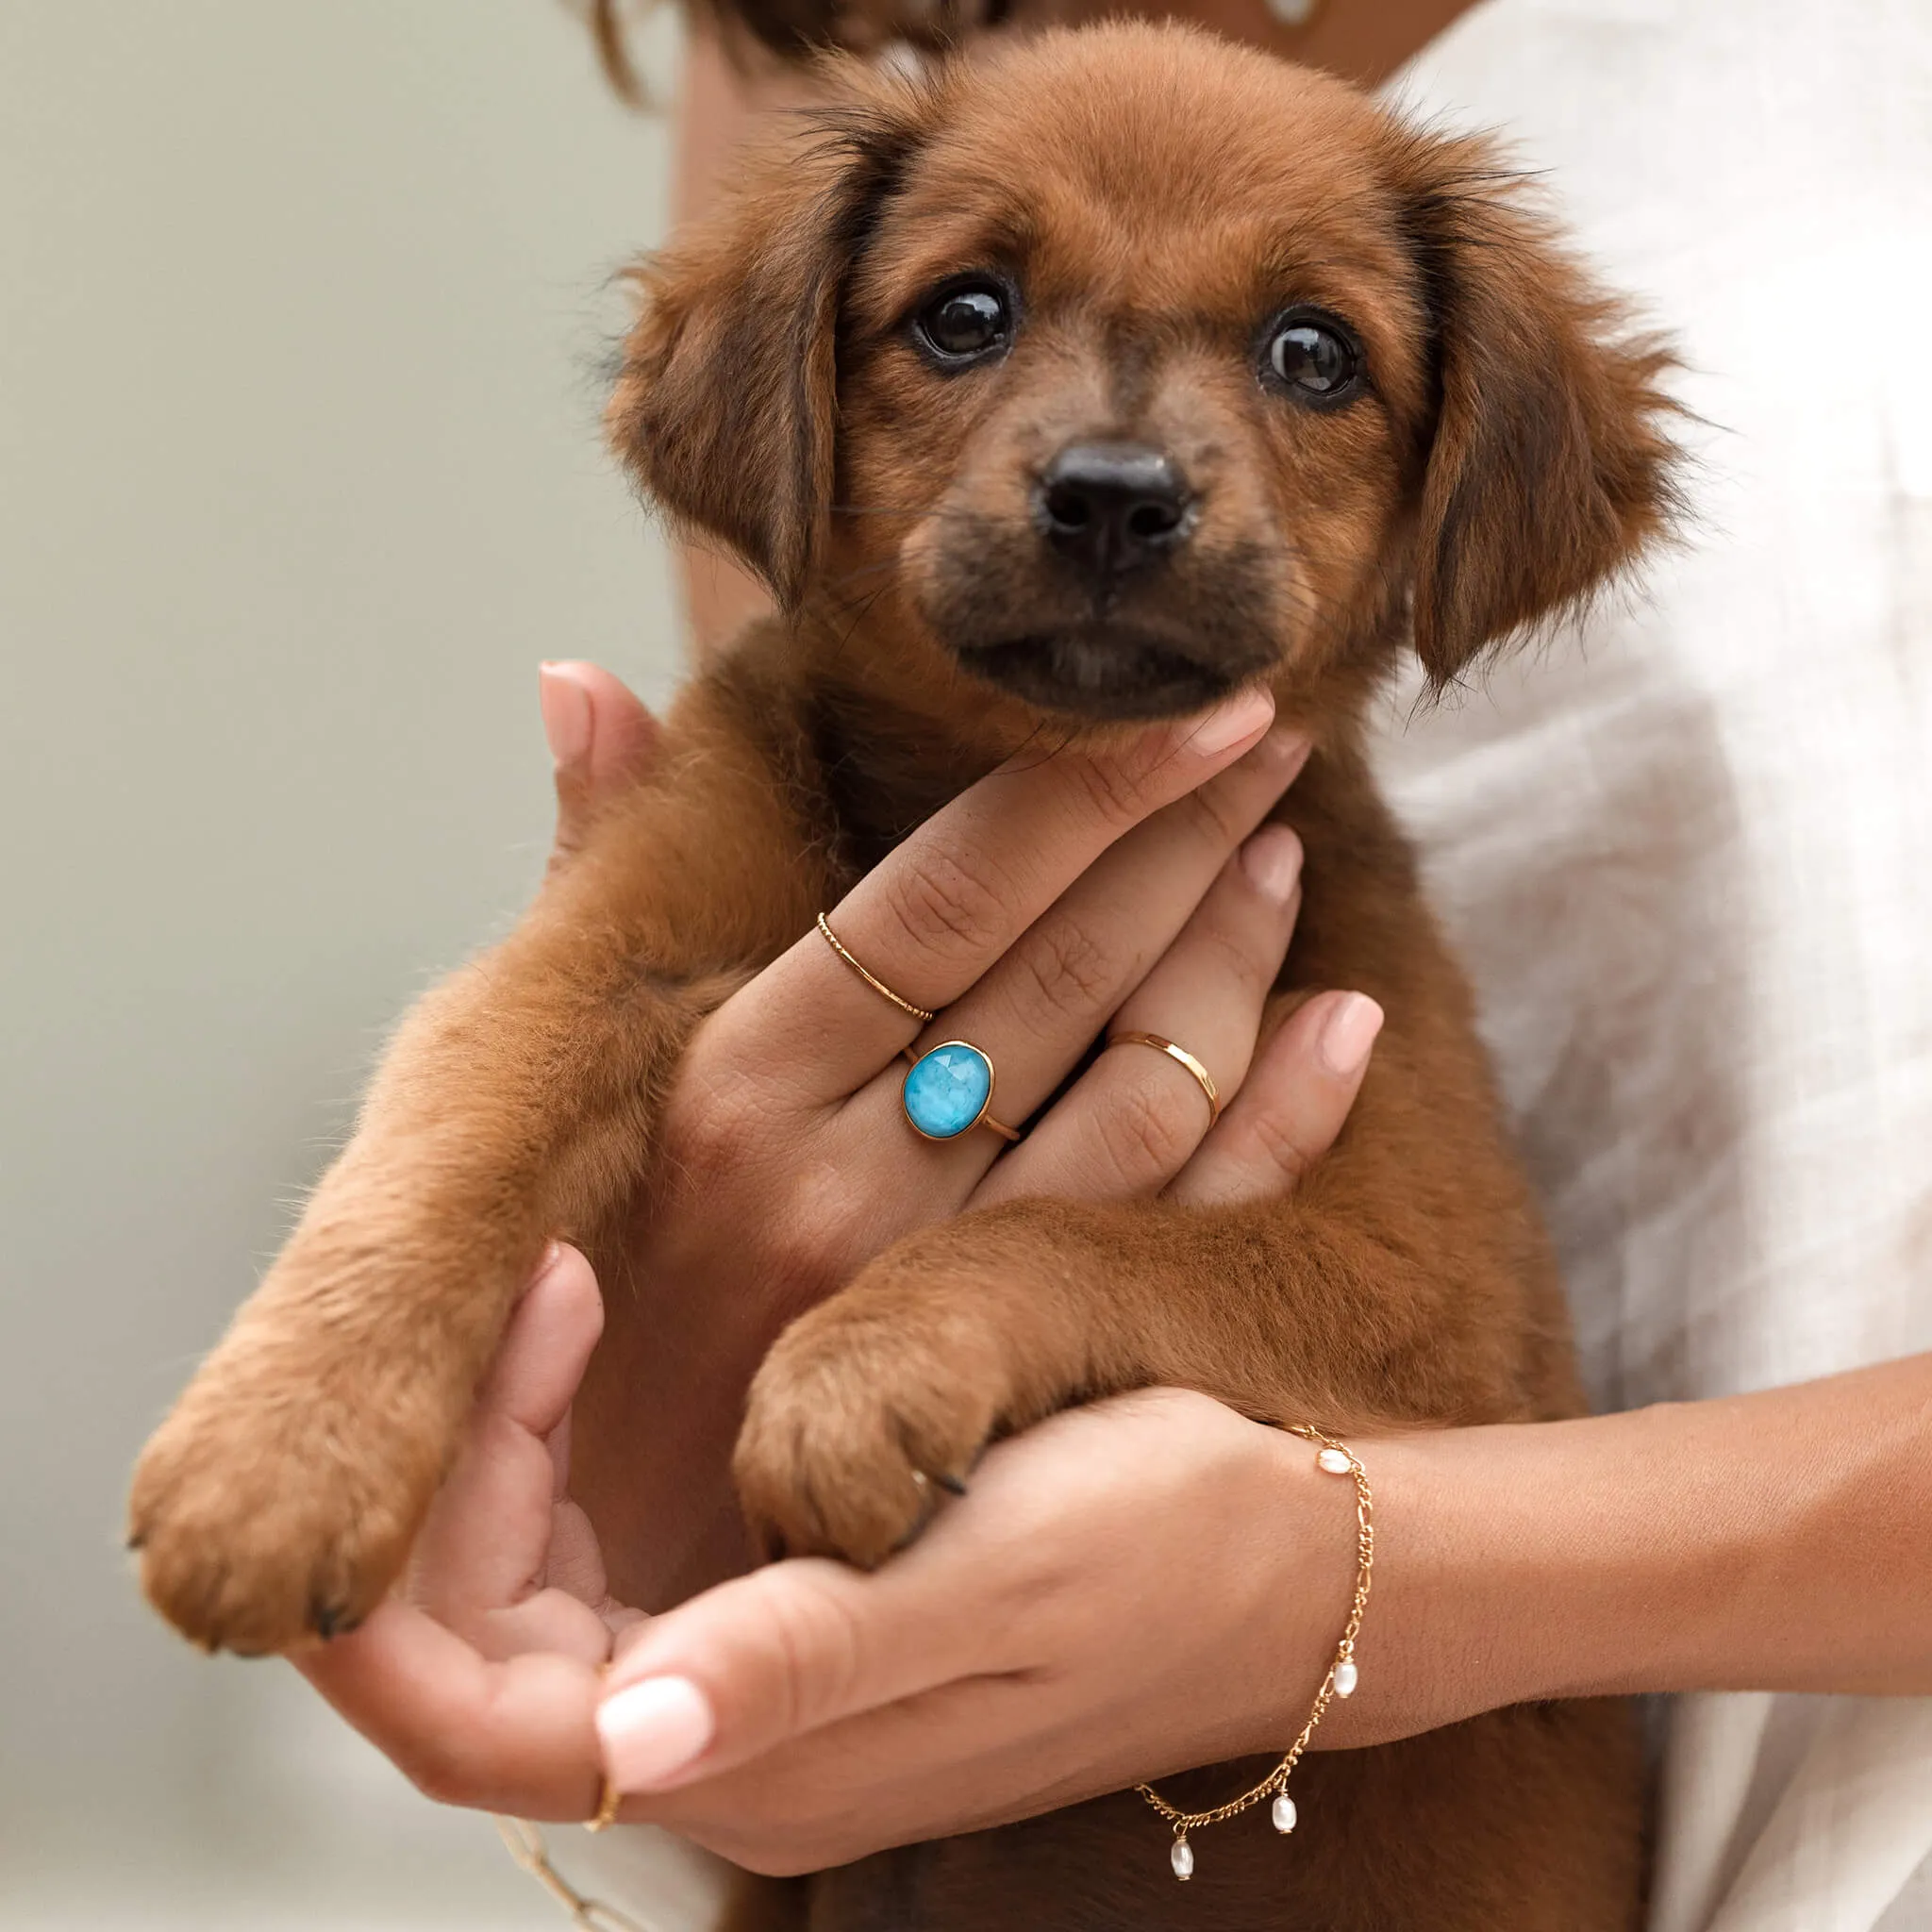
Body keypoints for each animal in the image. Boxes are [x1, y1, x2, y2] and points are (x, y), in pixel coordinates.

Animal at [132, 23, 1676, 1924]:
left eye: (1313, 353)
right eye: (963, 313)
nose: (1112, 499)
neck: (985, 785)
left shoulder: (1442, 1297)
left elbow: (1083, 1231)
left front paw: (863, 1370)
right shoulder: (604, 948)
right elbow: (439, 1149)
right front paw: (277, 1457)